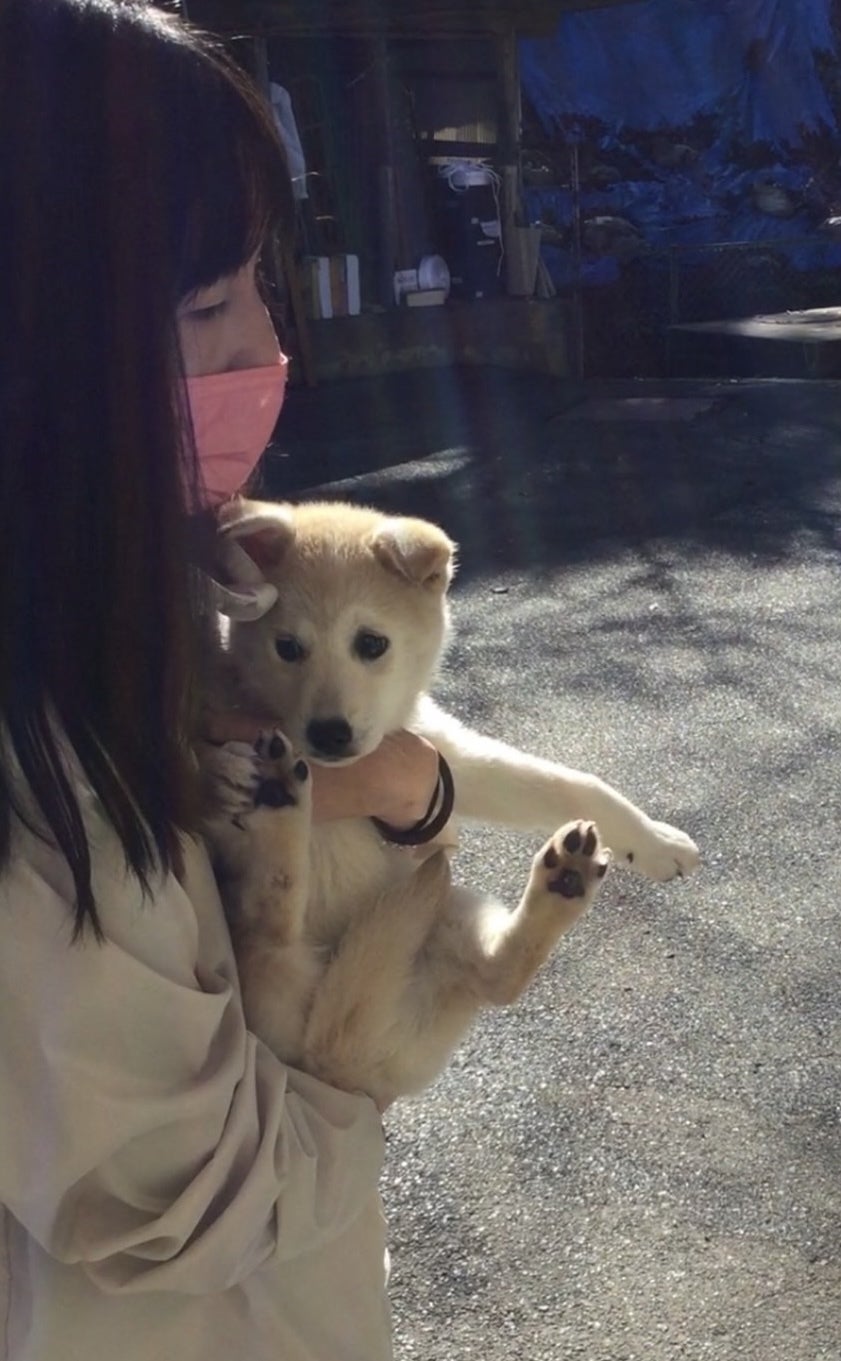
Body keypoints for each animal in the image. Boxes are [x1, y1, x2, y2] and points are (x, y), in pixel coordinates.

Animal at [201, 498, 699, 1109]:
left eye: (371, 644)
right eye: (287, 648)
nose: (328, 734)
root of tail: (342, 1068)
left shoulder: (441, 759)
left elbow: (576, 785)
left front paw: (656, 842)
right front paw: (221, 772)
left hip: (446, 914)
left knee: (496, 979)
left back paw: (564, 883)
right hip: (256, 954)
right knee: (271, 922)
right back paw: (278, 798)